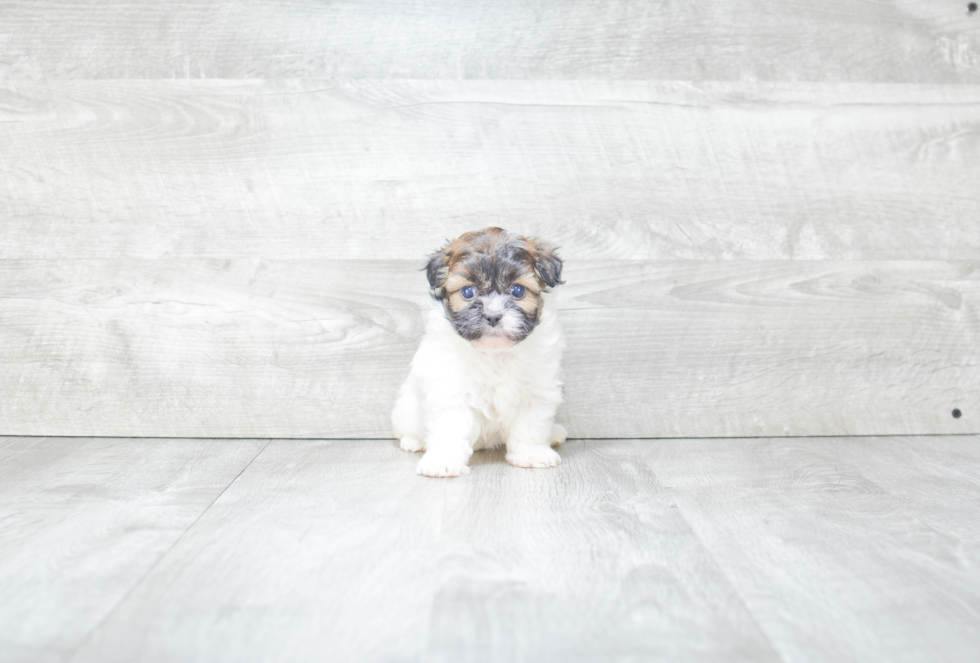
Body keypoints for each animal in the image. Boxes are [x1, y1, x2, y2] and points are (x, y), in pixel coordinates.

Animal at [390, 228, 568, 478]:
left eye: (517, 290)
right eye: (468, 292)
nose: (493, 316)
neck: (495, 353)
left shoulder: (536, 390)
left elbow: (530, 426)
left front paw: (532, 455)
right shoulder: (452, 390)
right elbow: (451, 428)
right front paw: (443, 462)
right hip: (405, 409)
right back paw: (413, 441)